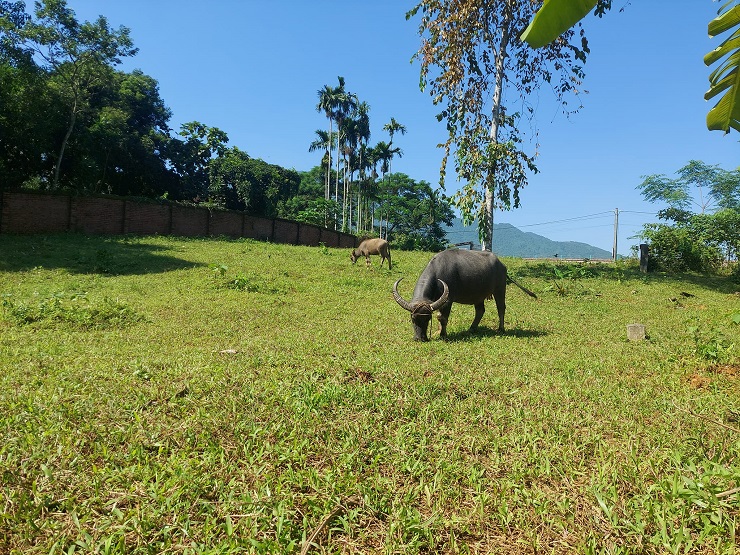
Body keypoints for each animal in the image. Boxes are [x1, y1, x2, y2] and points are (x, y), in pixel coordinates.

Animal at [396, 249, 536, 344]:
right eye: (413, 319)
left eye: (427, 319)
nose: (420, 338)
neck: (437, 274)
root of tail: (502, 265)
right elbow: (440, 316)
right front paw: (438, 332)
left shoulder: (448, 300)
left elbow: (442, 318)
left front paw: (443, 335)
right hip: (479, 295)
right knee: (480, 310)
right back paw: (472, 328)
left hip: (500, 290)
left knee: (501, 308)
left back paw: (501, 329)